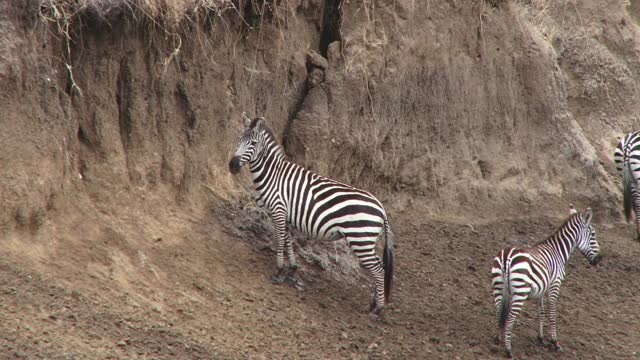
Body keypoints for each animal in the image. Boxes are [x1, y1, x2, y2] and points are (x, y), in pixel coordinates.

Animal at [226, 112, 396, 316]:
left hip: (360, 239)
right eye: (239, 139)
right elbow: (288, 240)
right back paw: (373, 303)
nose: (232, 165)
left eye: (252, 143)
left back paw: (377, 308)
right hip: (366, 241)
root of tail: (381, 209)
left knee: (378, 269)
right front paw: (291, 269)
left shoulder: (278, 210)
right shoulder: (286, 214)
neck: (273, 175)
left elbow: (279, 240)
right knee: (379, 265)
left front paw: (278, 271)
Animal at [492, 205, 604, 358]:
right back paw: (508, 350)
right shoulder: (554, 286)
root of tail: (507, 257)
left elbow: (541, 313)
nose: (599, 259)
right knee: (509, 319)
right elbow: (552, 315)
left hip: (499, 288)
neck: (558, 252)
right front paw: (555, 343)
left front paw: (540, 339)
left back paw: (497, 340)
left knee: (498, 313)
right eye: (593, 234)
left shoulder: (540, 290)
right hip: (520, 292)